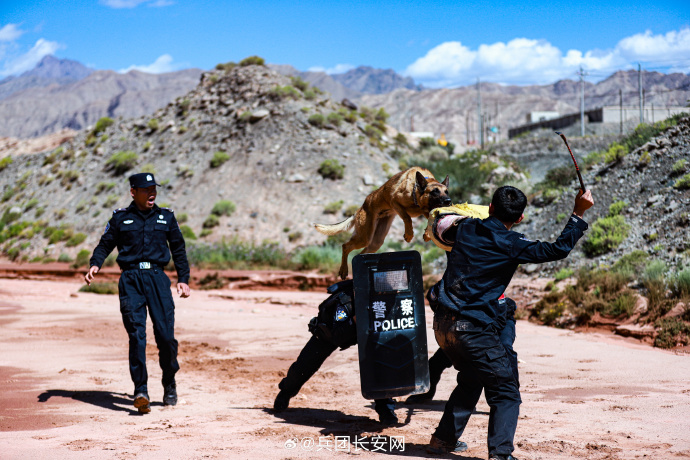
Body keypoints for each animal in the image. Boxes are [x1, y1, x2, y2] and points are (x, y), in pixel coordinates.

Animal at [314, 166, 452, 278]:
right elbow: (407, 218)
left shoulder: (426, 211)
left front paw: (427, 234)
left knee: (360, 254)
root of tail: (360, 208)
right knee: (345, 246)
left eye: (446, 191)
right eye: (435, 192)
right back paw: (343, 270)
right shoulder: (394, 202)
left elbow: (429, 220)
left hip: (376, 242)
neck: (416, 190)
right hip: (364, 237)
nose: (449, 201)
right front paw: (409, 234)